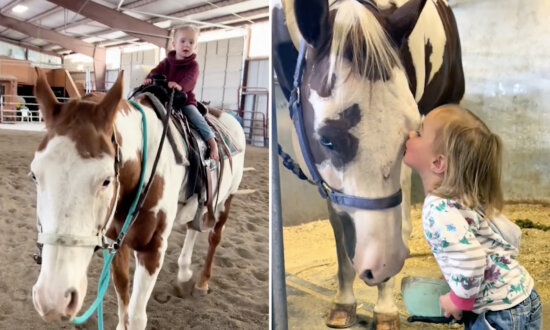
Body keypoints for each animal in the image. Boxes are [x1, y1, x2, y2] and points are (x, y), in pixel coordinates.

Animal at [30, 70, 246, 330]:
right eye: (34, 175)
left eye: (106, 180)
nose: (53, 299)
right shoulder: (116, 241)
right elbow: (123, 293)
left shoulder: (152, 248)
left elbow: (136, 316)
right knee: (193, 228)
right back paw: (184, 273)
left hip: (227, 200)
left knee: (215, 237)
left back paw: (202, 282)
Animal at [274, 0, 464, 328]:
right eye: (327, 140)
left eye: (409, 133)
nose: (383, 263)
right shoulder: (329, 180)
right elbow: (341, 236)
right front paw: (344, 303)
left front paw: (385, 307)